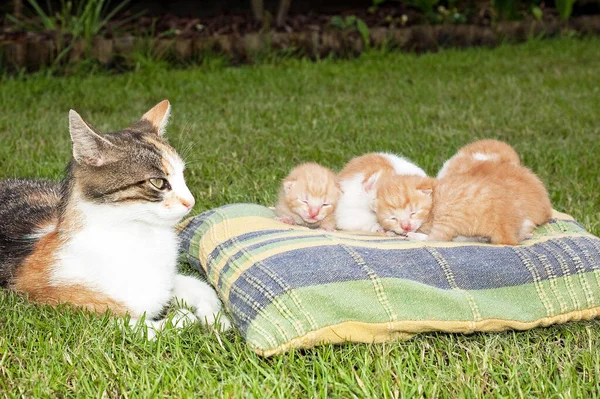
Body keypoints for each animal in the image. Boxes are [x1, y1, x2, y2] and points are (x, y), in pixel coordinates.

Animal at [0, 100, 230, 334]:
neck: (139, 234)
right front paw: (182, 319)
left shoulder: (166, 282)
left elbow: (203, 287)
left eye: (183, 176)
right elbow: (133, 326)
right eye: (158, 182)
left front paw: (215, 318)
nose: (190, 201)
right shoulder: (67, 310)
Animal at [376, 161, 552, 245]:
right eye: (393, 218)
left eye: (414, 211)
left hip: (449, 213)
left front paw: (401, 233)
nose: (405, 226)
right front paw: (392, 231)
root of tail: (502, 225)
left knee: (439, 238)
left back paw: (415, 236)